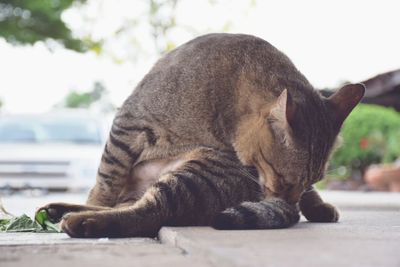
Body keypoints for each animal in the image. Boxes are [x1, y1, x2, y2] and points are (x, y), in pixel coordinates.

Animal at [38, 33, 366, 239]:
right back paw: (61, 210)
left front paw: (316, 205)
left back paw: (79, 220)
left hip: (197, 171)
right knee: (127, 204)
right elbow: (106, 180)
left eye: (313, 180)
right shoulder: (129, 123)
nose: (289, 204)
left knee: (147, 213)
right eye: (284, 180)